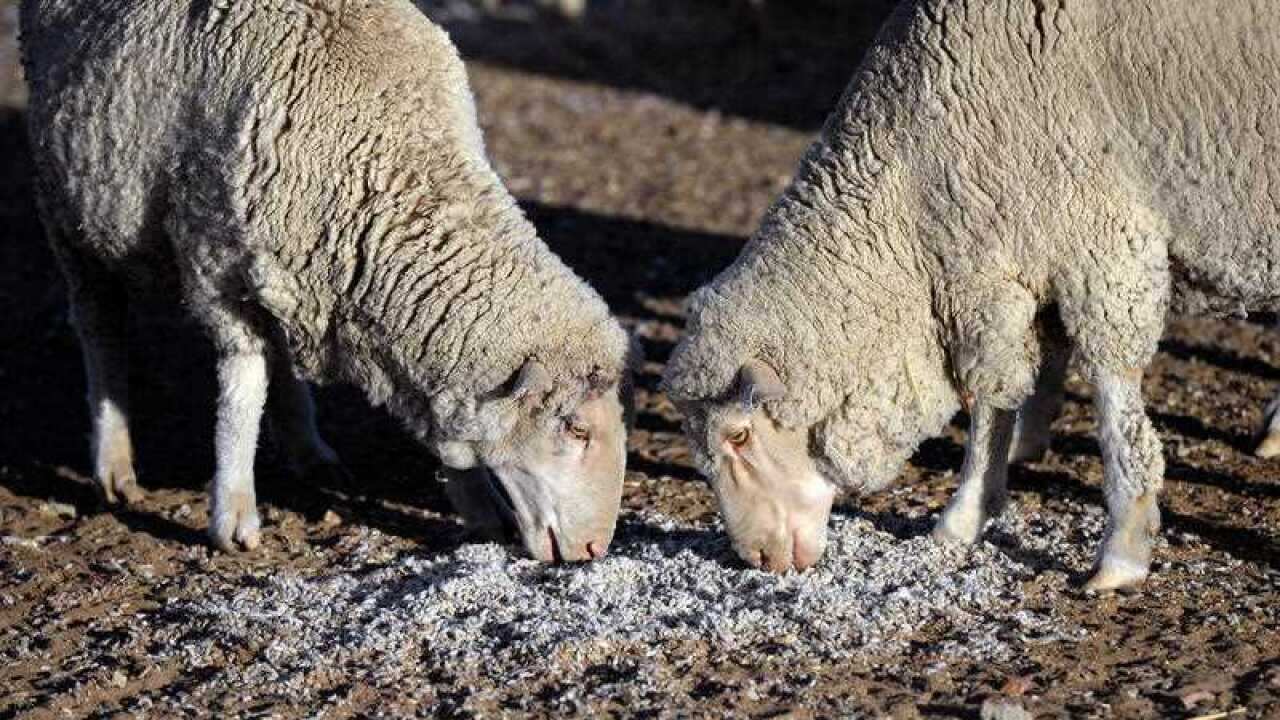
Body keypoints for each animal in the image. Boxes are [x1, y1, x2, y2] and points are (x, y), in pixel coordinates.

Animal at [20, 0, 632, 562]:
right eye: (575, 429)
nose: (595, 549)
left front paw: (475, 505)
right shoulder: (218, 271)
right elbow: (241, 391)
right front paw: (232, 515)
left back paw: (309, 450)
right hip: (68, 207)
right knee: (99, 324)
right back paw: (114, 462)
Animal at [662, 0, 1280, 591]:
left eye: (739, 435)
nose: (758, 559)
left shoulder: (1101, 241)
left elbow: (1108, 401)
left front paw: (1122, 547)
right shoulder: (997, 263)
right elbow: (1000, 392)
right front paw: (977, 502)